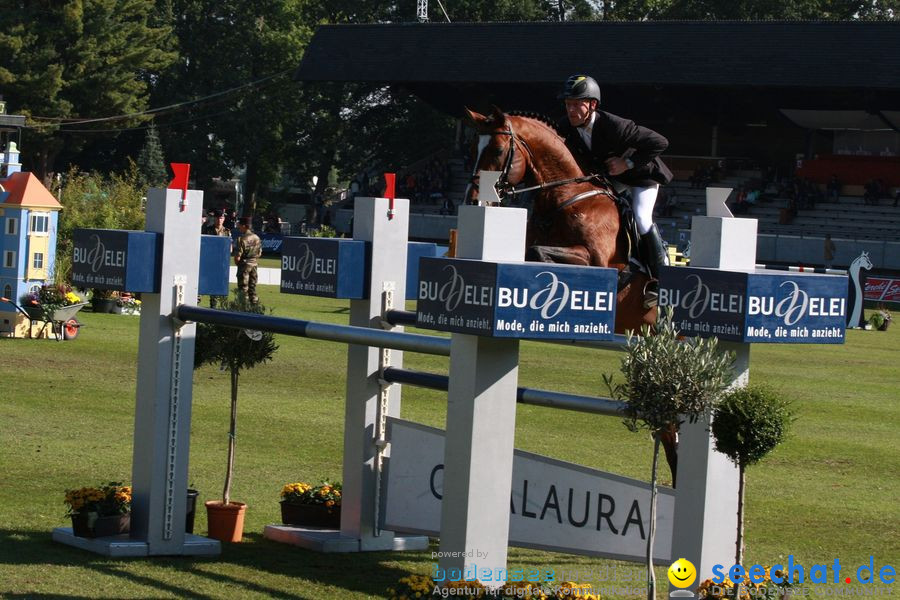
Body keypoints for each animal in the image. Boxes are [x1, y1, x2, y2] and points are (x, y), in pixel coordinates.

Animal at [464, 106, 684, 482]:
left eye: (496, 150)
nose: (472, 198)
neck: (564, 197)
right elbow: (531, 255)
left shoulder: (600, 265)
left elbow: (541, 254)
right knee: (669, 431)